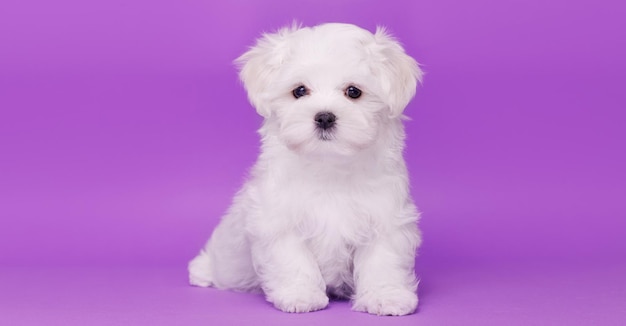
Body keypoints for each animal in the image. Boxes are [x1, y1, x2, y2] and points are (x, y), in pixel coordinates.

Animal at [189, 22, 424, 316]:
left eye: (354, 91)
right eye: (299, 91)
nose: (324, 116)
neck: (329, 165)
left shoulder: (386, 216)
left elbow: (383, 260)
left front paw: (386, 296)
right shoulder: (277, 219)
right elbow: (293, 259)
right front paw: (300, 295)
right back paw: (201, 271)